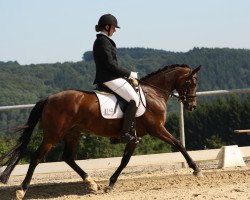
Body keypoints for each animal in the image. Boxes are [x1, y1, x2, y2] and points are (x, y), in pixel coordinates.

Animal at [0, 63, 201, 198]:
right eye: (191, 83)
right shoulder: (156, 129)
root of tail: (49, 98)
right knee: (36, 158)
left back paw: (92, 183)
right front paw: (196, 169)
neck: (153, 94)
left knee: (68, 157)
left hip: (73, 133)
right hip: (53, 135)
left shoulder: (135, 138)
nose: (192, 106)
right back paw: (22, 190)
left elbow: (125, 161)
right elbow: (178, 144)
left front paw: (110, 184)